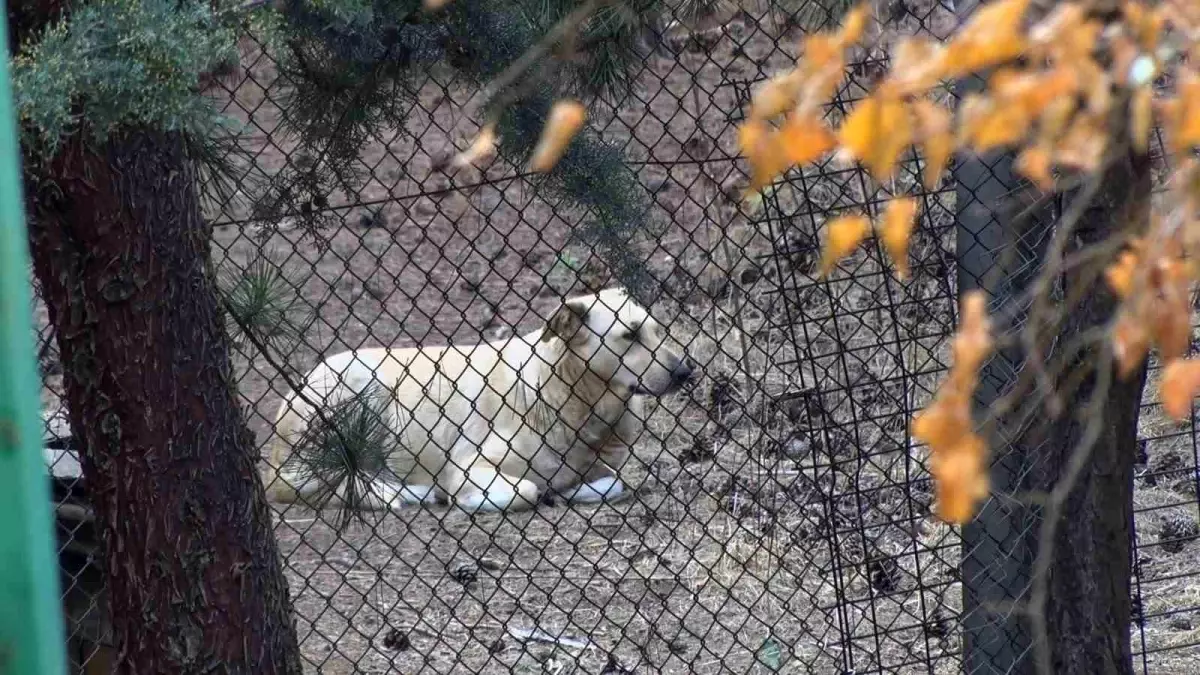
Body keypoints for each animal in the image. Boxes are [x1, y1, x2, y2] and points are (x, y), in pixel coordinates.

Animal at [262, 285, 696, 511]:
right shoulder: (469, 466)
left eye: (656, 330)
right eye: (630, 335)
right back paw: (403, 493)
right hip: (361, 386)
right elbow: (527, 489)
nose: (685, 372)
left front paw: (569, 490)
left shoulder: (603, 468)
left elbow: (610, 482)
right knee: (317, 483)